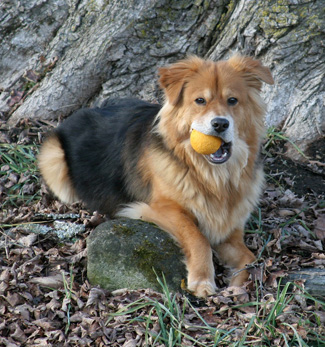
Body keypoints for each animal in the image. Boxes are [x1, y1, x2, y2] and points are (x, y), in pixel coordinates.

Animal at [38, 53, 274, 296]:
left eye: (232, 100)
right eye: (200, 100)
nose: (220, 124)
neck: (212, 176)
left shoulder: (229, 227)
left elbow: (249, 257)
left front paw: (237, 286)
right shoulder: (161, 208)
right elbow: (197, 237)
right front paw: (202, 278)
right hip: (53, 157)